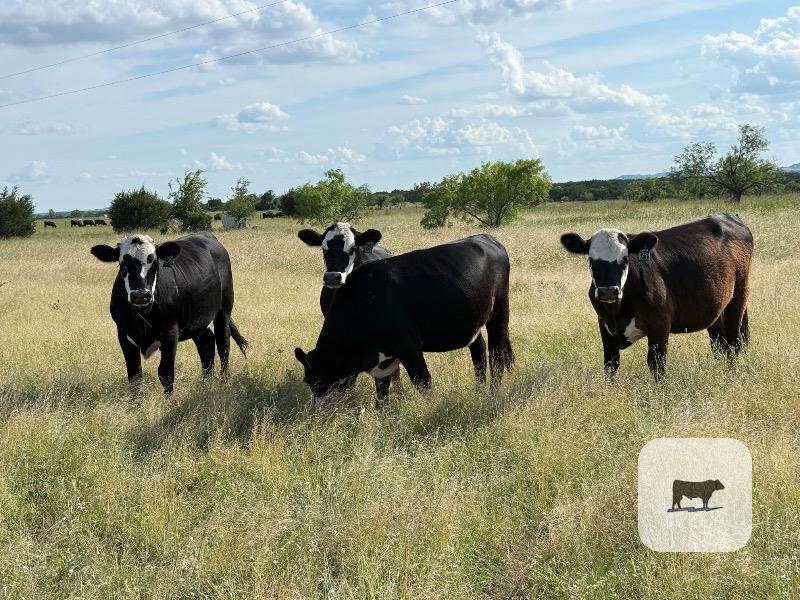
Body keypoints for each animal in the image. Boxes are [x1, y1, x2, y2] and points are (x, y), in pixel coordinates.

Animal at [90, 231, 248, 395]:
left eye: (154, 263)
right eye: (122, 265)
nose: (140, 295)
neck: (143, 315)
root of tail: (206, 234)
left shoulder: (170, 333)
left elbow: (165, 373)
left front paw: (170, 400)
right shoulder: (123, 335)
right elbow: (134, 376)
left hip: (224, 308)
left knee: (223, 344)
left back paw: (224, 381)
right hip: (196, 319)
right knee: (206, 342)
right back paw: (206, 383)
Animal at [295, 234, 514, 406]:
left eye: (317, 381)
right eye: (308, 381)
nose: (317, 411)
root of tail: (487, 238)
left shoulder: (409, 346)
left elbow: (423, 382)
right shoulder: (384, 360)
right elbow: (382, 393)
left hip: (500, 312)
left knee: (496, 354)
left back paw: (493, 393)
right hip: (472, 321)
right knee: (479, 352)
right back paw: (479, 390)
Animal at [559, 214, 753, 379]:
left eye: (625, 259)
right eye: (591, 260)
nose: (608, 291)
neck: (618, 312)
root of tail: (728, 216)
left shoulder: (659, 324)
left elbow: (656, 364)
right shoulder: (604, 325)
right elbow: (610, 365)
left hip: (738, 298)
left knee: (734, 341)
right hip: (716, 307)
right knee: (720, 343)